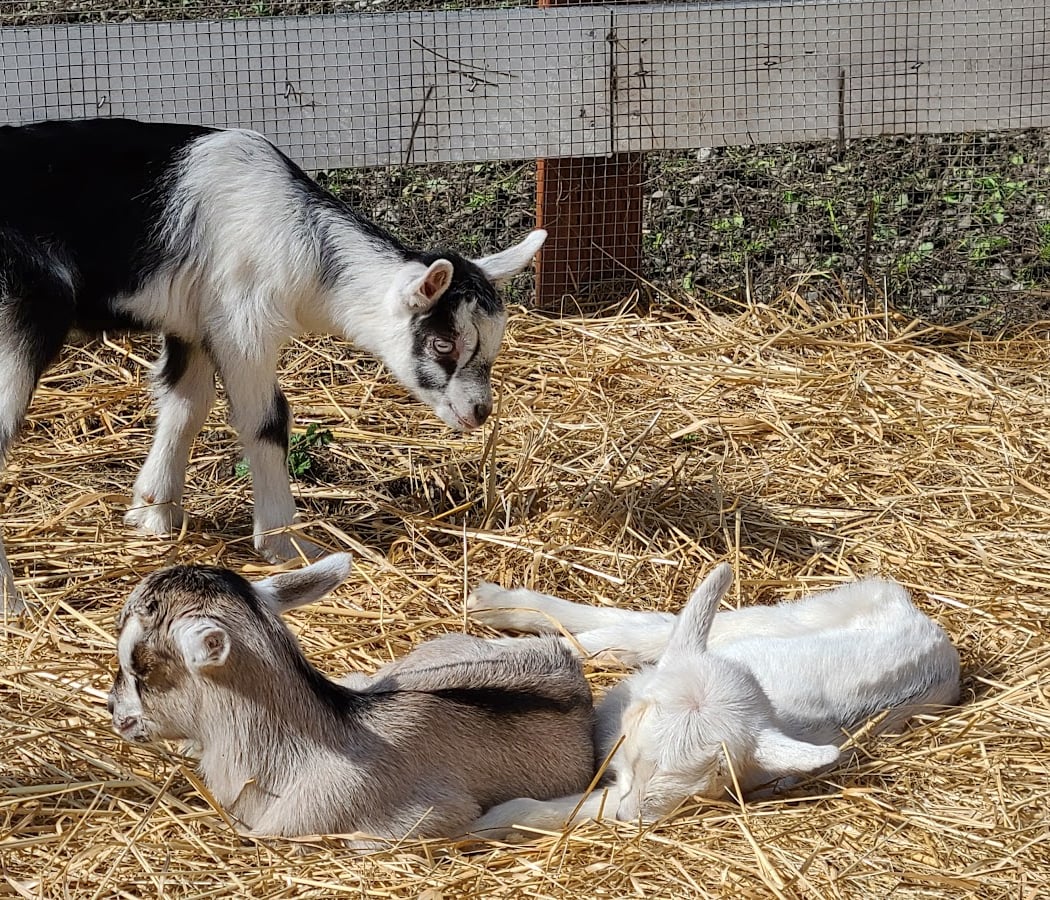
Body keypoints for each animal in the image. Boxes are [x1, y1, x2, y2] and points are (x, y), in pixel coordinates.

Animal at [0, 118, 545, 613]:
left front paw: (154, 513)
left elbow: (185, 404)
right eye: (442, 343)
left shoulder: (194, 322)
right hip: (19, 321)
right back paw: (13, 603)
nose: (478, 412)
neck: (301, 242)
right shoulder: (242, 323)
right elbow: (266, 419)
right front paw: (287, 544)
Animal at [466, 563, 960, 837]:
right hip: (796, 615)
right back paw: (498, 609)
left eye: (712, 778)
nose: (630, 817)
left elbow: (579, 808)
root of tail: (937, 639)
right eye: (637, 753)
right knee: (659, 627)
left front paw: (484, 825)